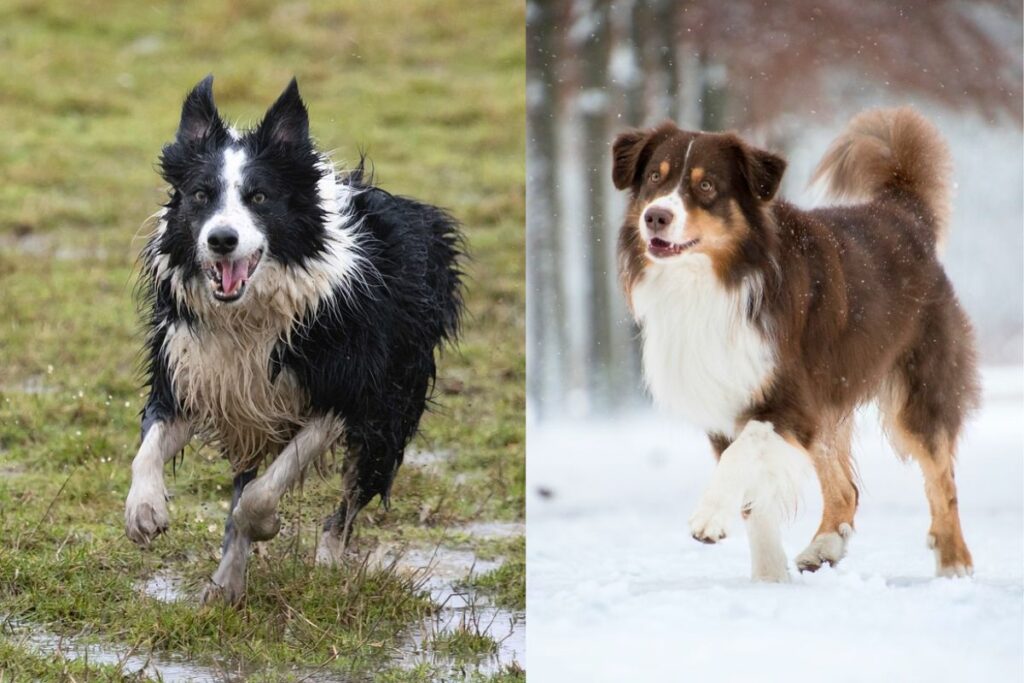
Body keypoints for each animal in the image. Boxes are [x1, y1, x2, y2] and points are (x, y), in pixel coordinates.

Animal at [124, 77, 464, 606]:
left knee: (347, 501)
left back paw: (326, 563)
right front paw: (145, 510)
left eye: (260, 197)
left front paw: (265, 525)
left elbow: (262, 493)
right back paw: (227, 584)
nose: (221, 239)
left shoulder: (347, 391)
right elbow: (151, 445)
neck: (249, 315)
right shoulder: (193, 373)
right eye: (200, 195)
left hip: (392, 409)